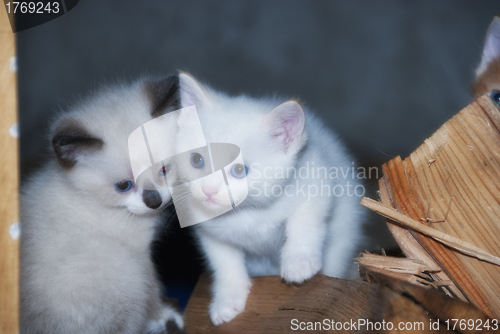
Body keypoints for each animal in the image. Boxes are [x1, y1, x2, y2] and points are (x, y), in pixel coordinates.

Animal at [20, 75, 184, 334]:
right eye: (123, 186)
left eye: (164, 170)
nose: (154, 201)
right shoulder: (139, 254)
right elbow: (153, 289)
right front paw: (162, 317)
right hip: (124, 267)